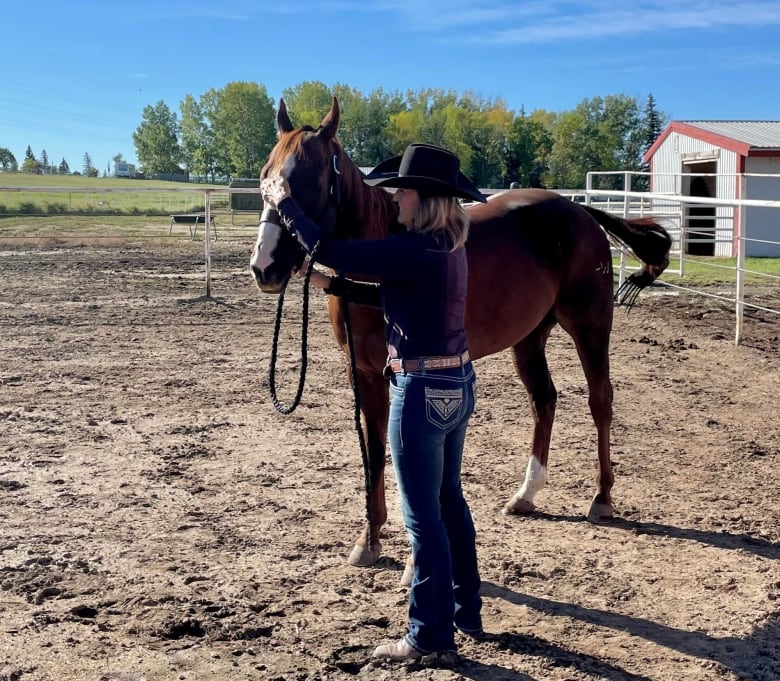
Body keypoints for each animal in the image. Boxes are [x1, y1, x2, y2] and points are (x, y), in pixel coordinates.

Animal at [250, 98, 672, 568]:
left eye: (309, 179)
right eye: (265, 175)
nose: (265, 267)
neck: (378, 252)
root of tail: (579, 212)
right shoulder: (362, 372)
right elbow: (375, 451)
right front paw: (369, 540)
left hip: (590, 326)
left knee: (600, 402)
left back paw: (601, 499)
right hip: (529, 338)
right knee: (544, 399)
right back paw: (526, 495)